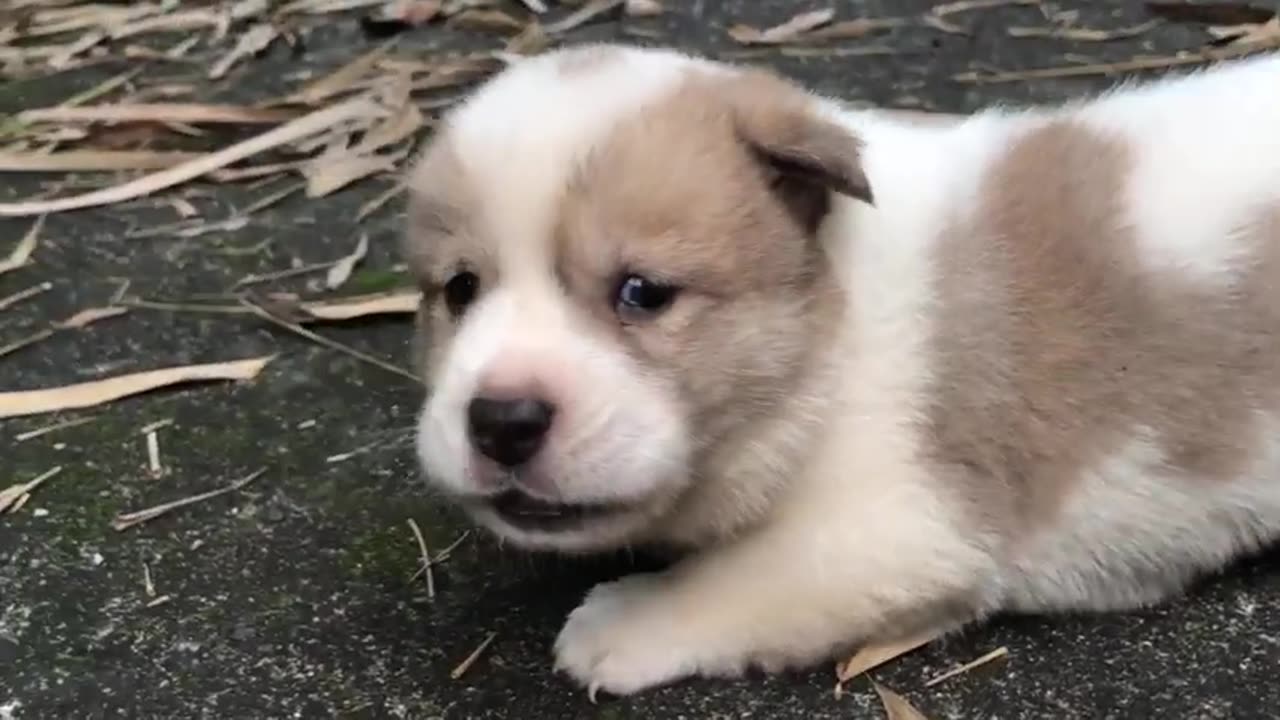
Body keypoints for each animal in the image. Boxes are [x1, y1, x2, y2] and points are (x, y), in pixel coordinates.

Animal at [404, 41, 1280, 691]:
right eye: (460, 289)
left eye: (643, 293)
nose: (501, 420)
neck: (833, 325)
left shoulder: (893, 526)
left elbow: (740, 576)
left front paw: (624, 620)